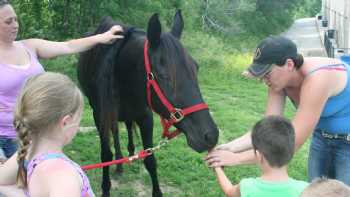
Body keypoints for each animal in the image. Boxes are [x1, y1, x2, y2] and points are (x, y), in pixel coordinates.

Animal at [77, 10, 217, 196]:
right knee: (116, 131)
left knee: (128, 126)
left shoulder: (145, 117)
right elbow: (106, 155)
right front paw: (106, 188)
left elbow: (150, 159)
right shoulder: (100, 116)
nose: (211, 135)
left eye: (196, 68)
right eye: (163, 75)